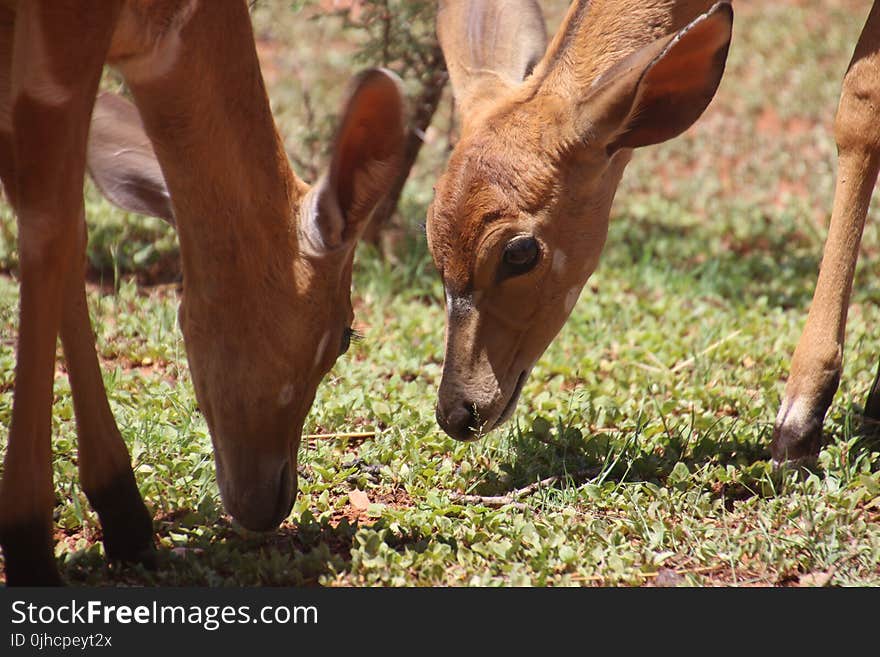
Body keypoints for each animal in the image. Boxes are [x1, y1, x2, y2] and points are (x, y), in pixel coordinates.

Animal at [0, 0, 406, 584]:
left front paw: (125, 515)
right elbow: (51, 224)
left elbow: (69, 228)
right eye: (345, 335)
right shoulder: (63, 38)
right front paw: (31, 544)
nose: (275, 500)